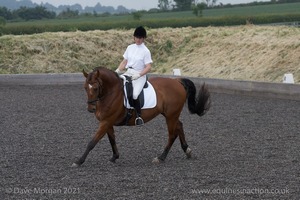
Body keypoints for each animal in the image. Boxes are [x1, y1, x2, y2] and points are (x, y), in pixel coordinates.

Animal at [71, 66, 210, 166]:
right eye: (85, 87)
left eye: (95, 88)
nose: (91, 109)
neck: (111, 92)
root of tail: (177, 81)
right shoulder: (107, 122)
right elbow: (112, 140)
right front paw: (114, 157)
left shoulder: (106, 122)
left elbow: (92, 142)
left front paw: (79, 161)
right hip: (171, 115)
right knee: (179, 126)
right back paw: (187, 151)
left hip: (171, 116)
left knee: (172, 134)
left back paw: (161, 157)